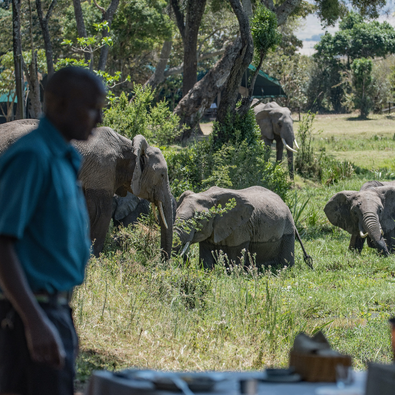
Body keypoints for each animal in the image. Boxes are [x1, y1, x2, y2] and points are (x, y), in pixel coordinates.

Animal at [0, 119, 175, 258]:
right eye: (162, 175)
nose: (162, 261)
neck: (128, 146)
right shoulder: (101, 171)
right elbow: (101, 213)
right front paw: (94, 260)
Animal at [174, 186, 312, 270]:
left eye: (198, 219)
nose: (185, 262)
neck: (207, 195)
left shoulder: (241, 227)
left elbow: (236, 254)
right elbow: (206, 256)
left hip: (288, 228)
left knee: (286, 259)